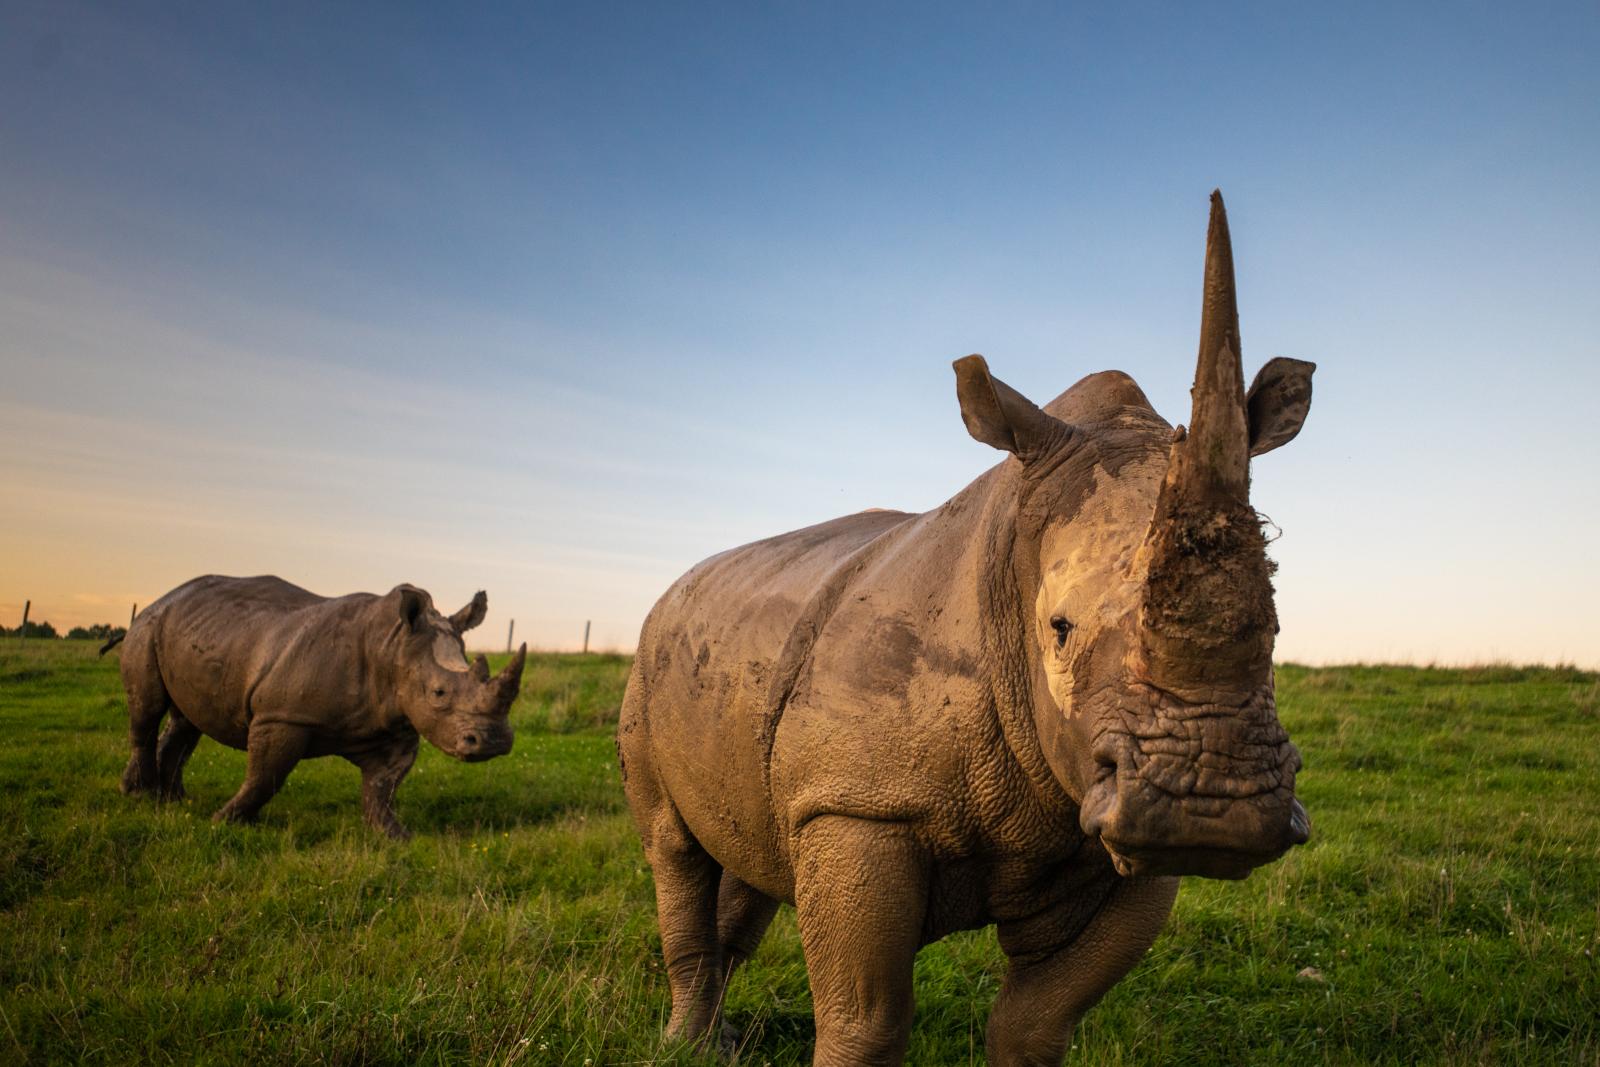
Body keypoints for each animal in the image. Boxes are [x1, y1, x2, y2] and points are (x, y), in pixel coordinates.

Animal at [112, 575, 527, 838]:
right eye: (439, 693)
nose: (493, 742)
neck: (392, 646)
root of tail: (162, 598)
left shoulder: (396, 726)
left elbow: (382, 787)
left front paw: (396, 836)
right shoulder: (282, 716)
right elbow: (265, 777)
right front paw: (223, 822)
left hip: (197, 631)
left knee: (185, 720)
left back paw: (172, 799)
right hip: (146, 628)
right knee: (147, 711)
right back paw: (143, 797)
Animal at [618, 193, 1316, 1065]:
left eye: (1277, 627)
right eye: (1058, 628)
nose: (1211, 803)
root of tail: (673, 590)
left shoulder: (1115, 837)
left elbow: (1035, 1022)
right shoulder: (858, 805)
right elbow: (867, 1018)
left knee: (748, 850)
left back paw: (721, 1040)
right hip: (646, 663)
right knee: (673, 846)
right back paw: (689, 1042)